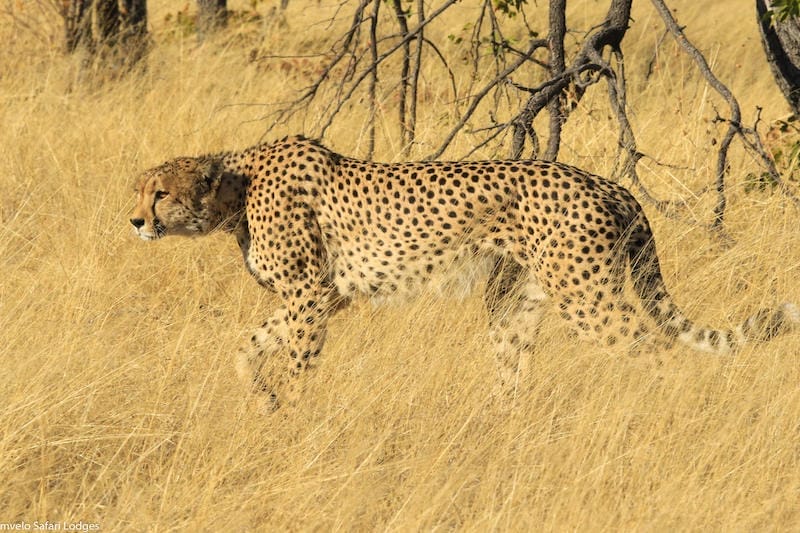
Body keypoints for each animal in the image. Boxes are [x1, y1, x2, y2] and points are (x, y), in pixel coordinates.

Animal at [130, 135, 792, 406]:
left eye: (160, 194)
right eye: (139, 191)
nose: (135, 221)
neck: (234, 189)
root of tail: (610, 183)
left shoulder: (311, 292)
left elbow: (295, 359)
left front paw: (291, 411)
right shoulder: (320, 296)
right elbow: (245, 349)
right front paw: (264, 400)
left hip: (587, 298)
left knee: (655, 351)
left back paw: (660, 414)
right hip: (515, 302)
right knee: (513, 372)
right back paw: (503, 428)